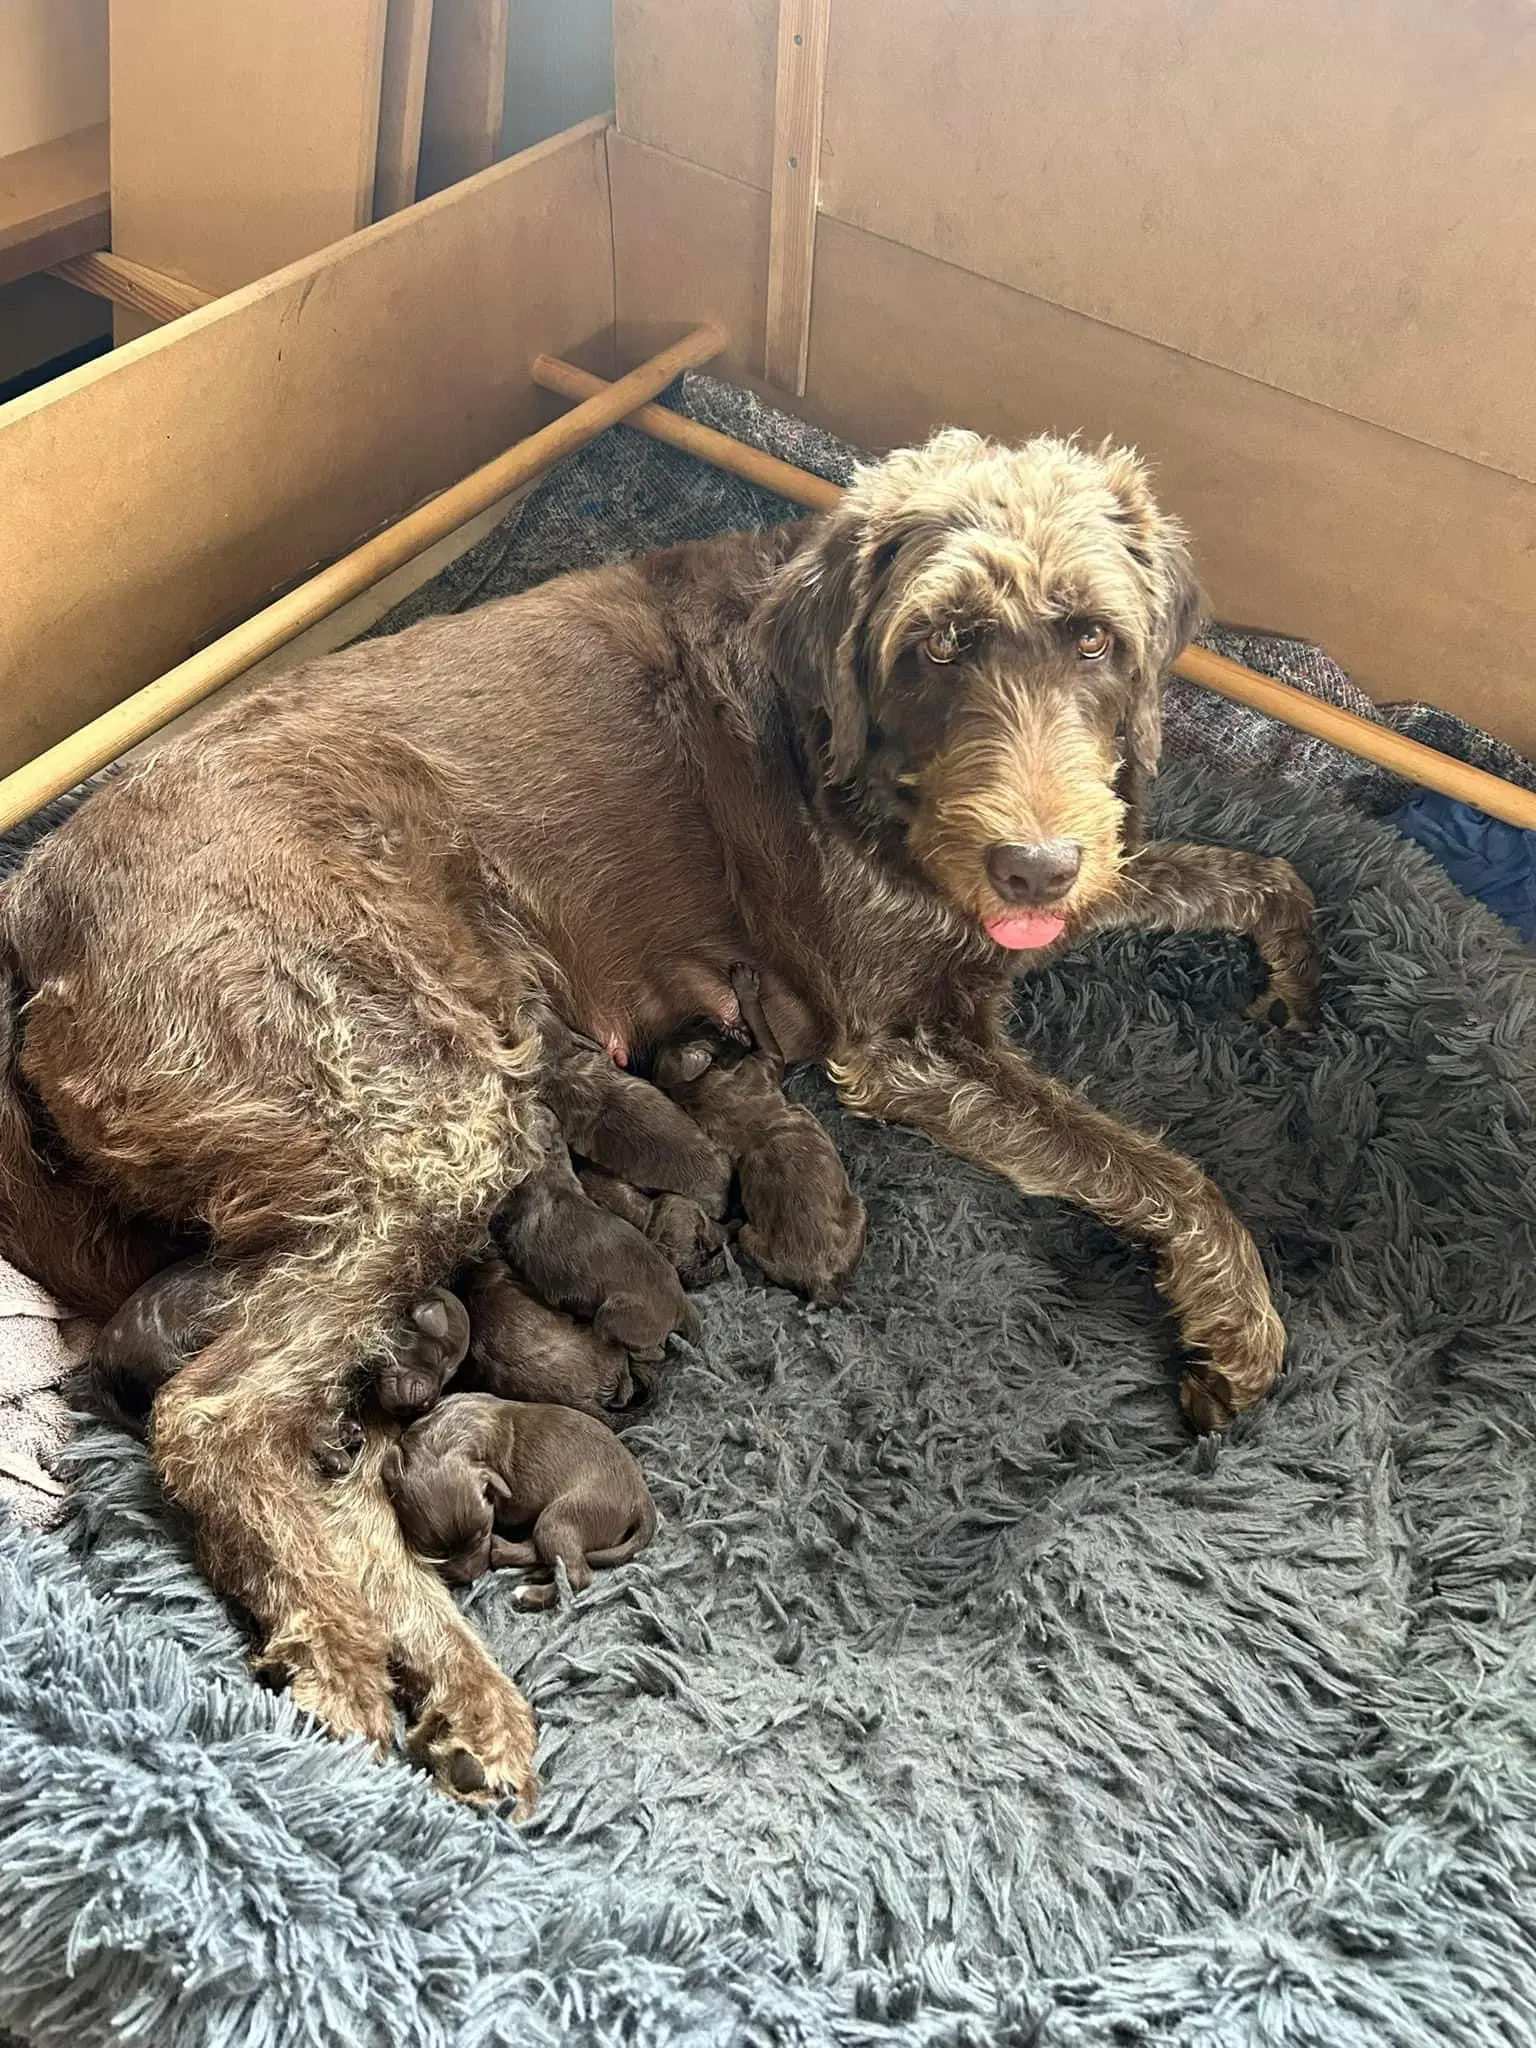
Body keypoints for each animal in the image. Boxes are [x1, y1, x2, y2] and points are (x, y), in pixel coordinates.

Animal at [387, 1392, 659, 1597]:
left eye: (483, 1532)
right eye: (438, 1553)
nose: (470, 1578)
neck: (444, 1438)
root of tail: (642, 1495)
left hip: (560, 1517)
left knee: (575, 1575)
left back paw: (527, 1592)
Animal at [651, 966, 868, 1302]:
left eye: (693, 1026)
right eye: (708, 1029)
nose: (704, 1015)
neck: (698, 1088)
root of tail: (819, 1282)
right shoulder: (768, 1059)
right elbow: (760, 1023)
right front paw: (744, 983)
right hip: (855, 1211)